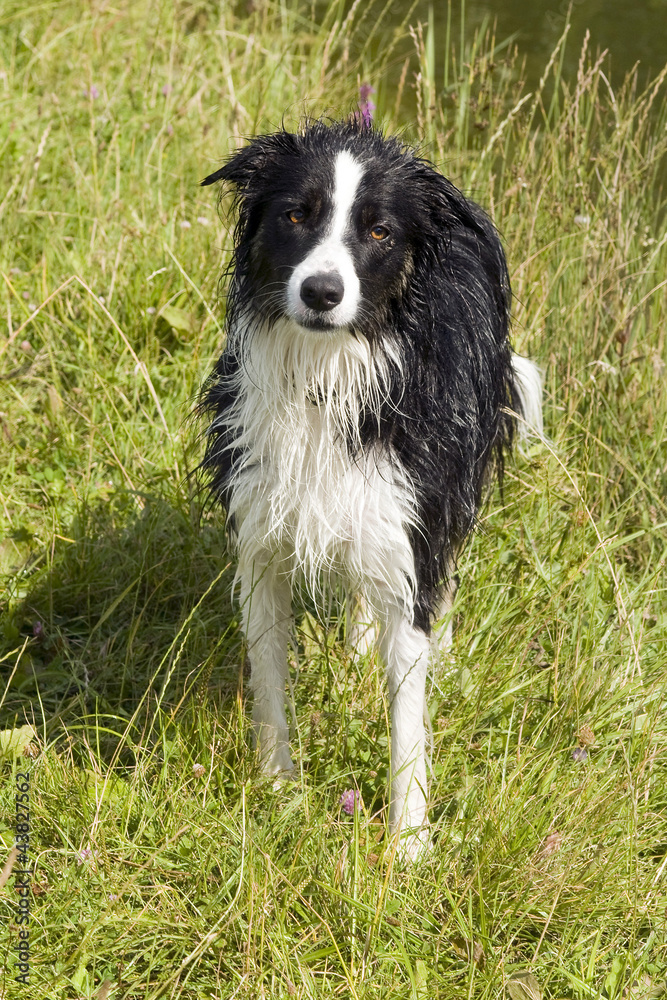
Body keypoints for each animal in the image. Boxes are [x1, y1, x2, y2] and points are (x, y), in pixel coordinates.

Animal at [200, 115, 544, 852]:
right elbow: (269, 677)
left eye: (379, 231)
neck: (330, 370)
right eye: (296, 215)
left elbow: (407, 705)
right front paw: (278, 791)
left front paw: (409, 841)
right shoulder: (263, 534)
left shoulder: (412, 524)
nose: (321, 292)